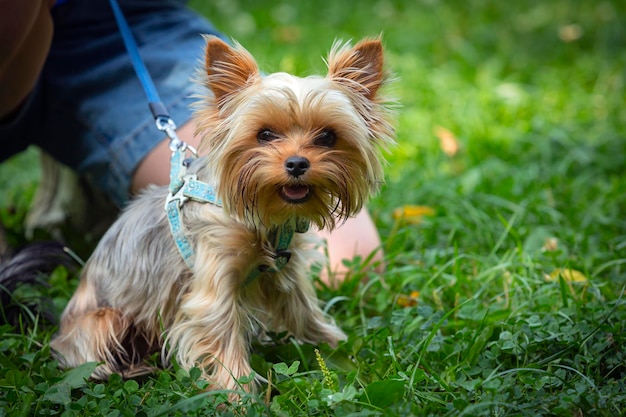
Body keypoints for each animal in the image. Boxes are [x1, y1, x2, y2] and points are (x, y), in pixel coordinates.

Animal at [50, 36, 390, 396]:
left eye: (327, 136)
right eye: (265, 134)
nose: (297, 163)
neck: (261, 217)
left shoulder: (288, 273)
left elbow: (304, 312)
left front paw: (338, 349)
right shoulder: (214, 278)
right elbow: (223, 337)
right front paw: (239, 395)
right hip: (101, 320)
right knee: (91, 358)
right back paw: (129, 370)